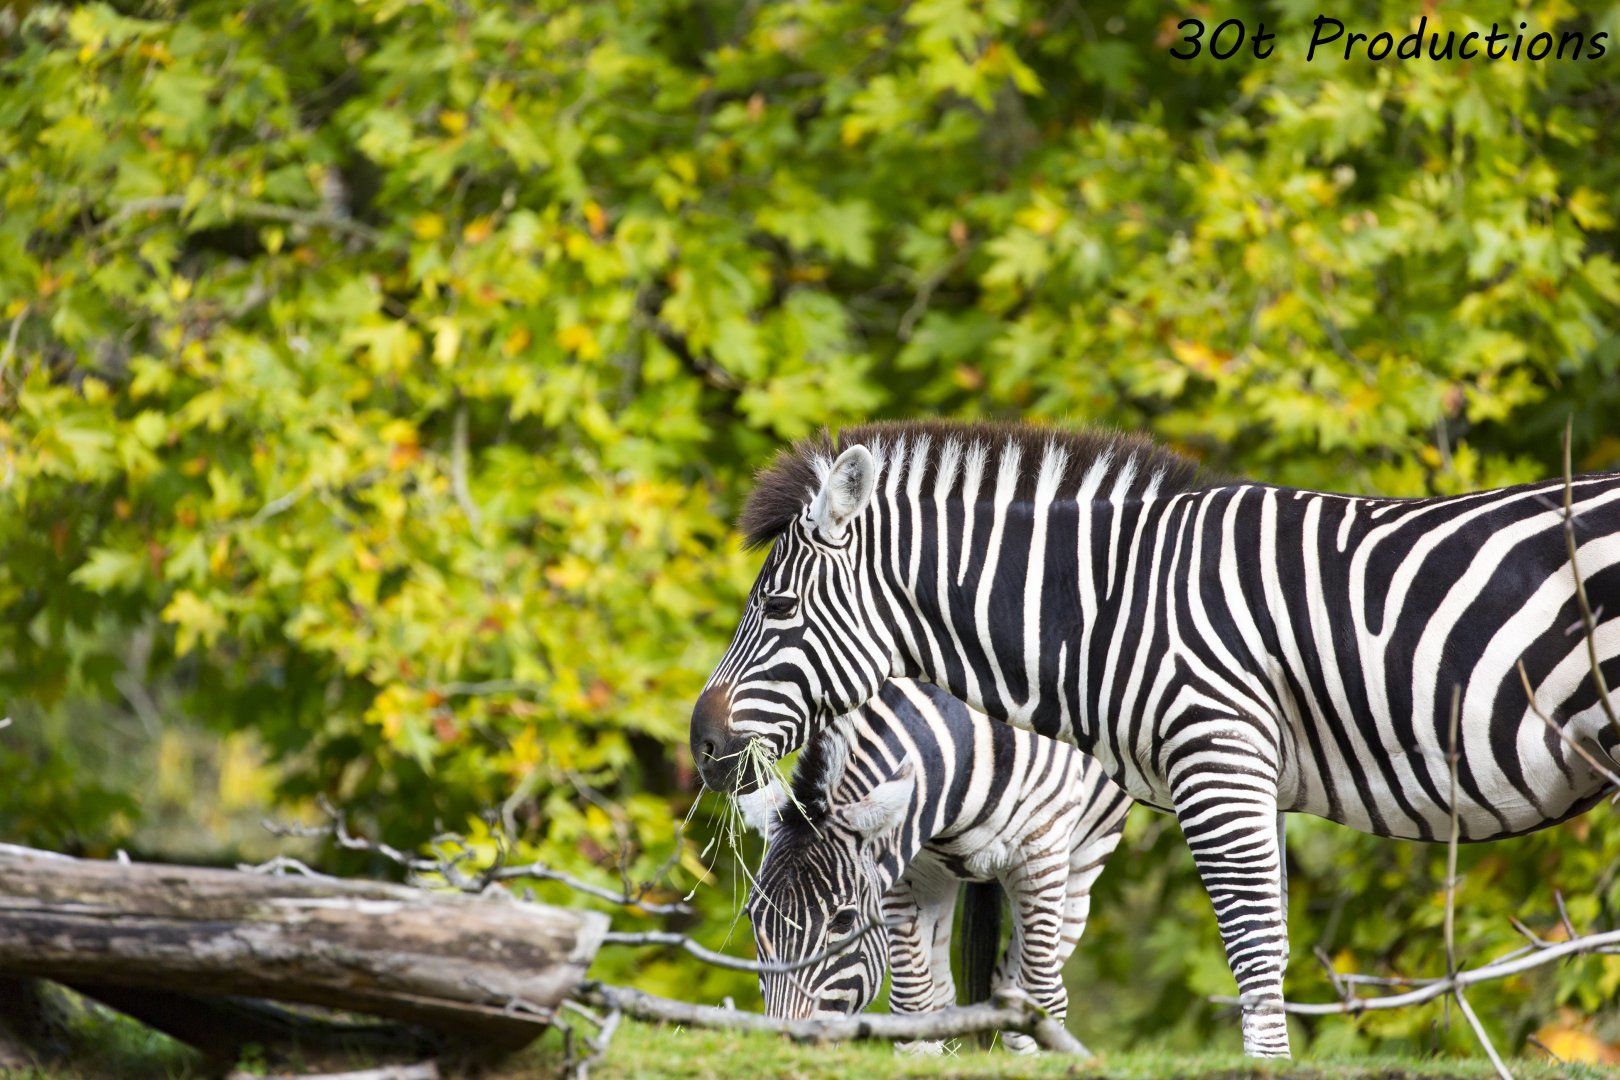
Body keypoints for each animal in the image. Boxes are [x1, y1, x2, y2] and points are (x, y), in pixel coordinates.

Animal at [739, 677, 1129, 1053]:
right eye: (752, 917)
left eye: (845, 920)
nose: (786, 1045)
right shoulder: (906, 868)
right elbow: (914, 1004)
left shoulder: (1041, 851)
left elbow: (1041, 999)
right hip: (940, 880)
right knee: (947, 993)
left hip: (1082, 864)